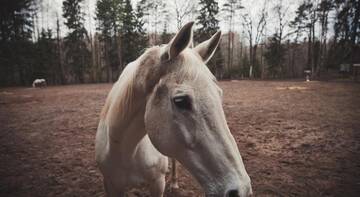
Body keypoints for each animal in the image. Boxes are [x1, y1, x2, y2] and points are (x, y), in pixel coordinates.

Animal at [96, 21, 253, 197]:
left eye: (219, 94)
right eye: (181, 101)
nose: (242, 190)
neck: (126, 150)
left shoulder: (158, 183)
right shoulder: (110, 184)